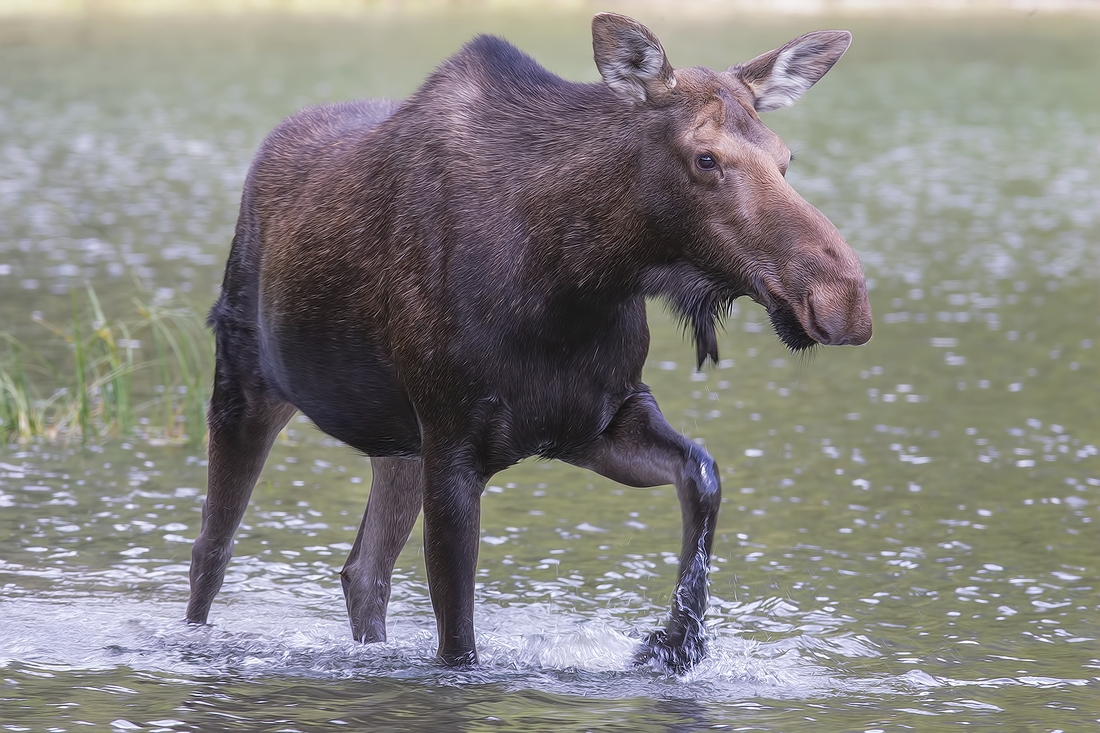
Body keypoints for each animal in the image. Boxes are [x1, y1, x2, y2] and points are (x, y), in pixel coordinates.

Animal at [187, 11, 866, 669]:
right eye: (705, 158)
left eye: (784, 158)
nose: (843, 298)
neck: (571, 279)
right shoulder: (455, 441)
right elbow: (458, 645)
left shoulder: (591, 421)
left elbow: (703, 474)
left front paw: (677, 641)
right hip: (244, 386)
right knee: (210, 554)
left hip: (396, 441)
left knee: (364, 571)